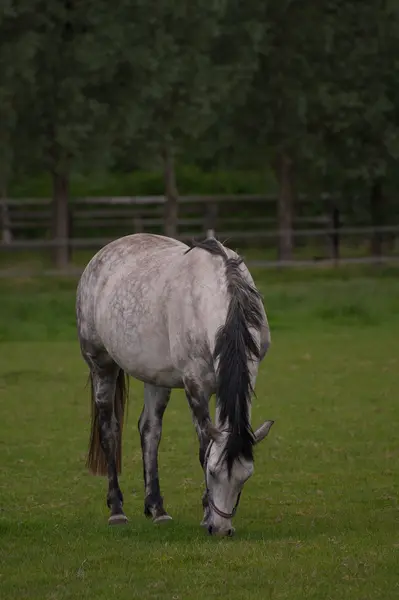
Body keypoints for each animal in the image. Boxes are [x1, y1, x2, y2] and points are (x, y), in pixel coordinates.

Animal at [76, 232, 274, 536]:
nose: (221, 529)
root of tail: (100, 256)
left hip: (155, 376)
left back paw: (157, 509)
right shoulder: (196, 385)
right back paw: (117, 511)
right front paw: (205, 515)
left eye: (246, 477)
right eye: (212, 473)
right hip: (101, 365)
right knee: (109, 430)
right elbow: (204, 448)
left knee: (149, 430)